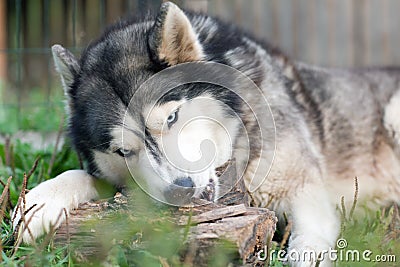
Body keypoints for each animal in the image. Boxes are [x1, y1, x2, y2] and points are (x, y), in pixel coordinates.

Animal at [12, 1, 400, 266]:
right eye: (124, 152)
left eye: (172, 117)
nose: (180, 190)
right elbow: (83, 176)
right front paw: (38, 202)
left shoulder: (304, 191)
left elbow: (308, 244)